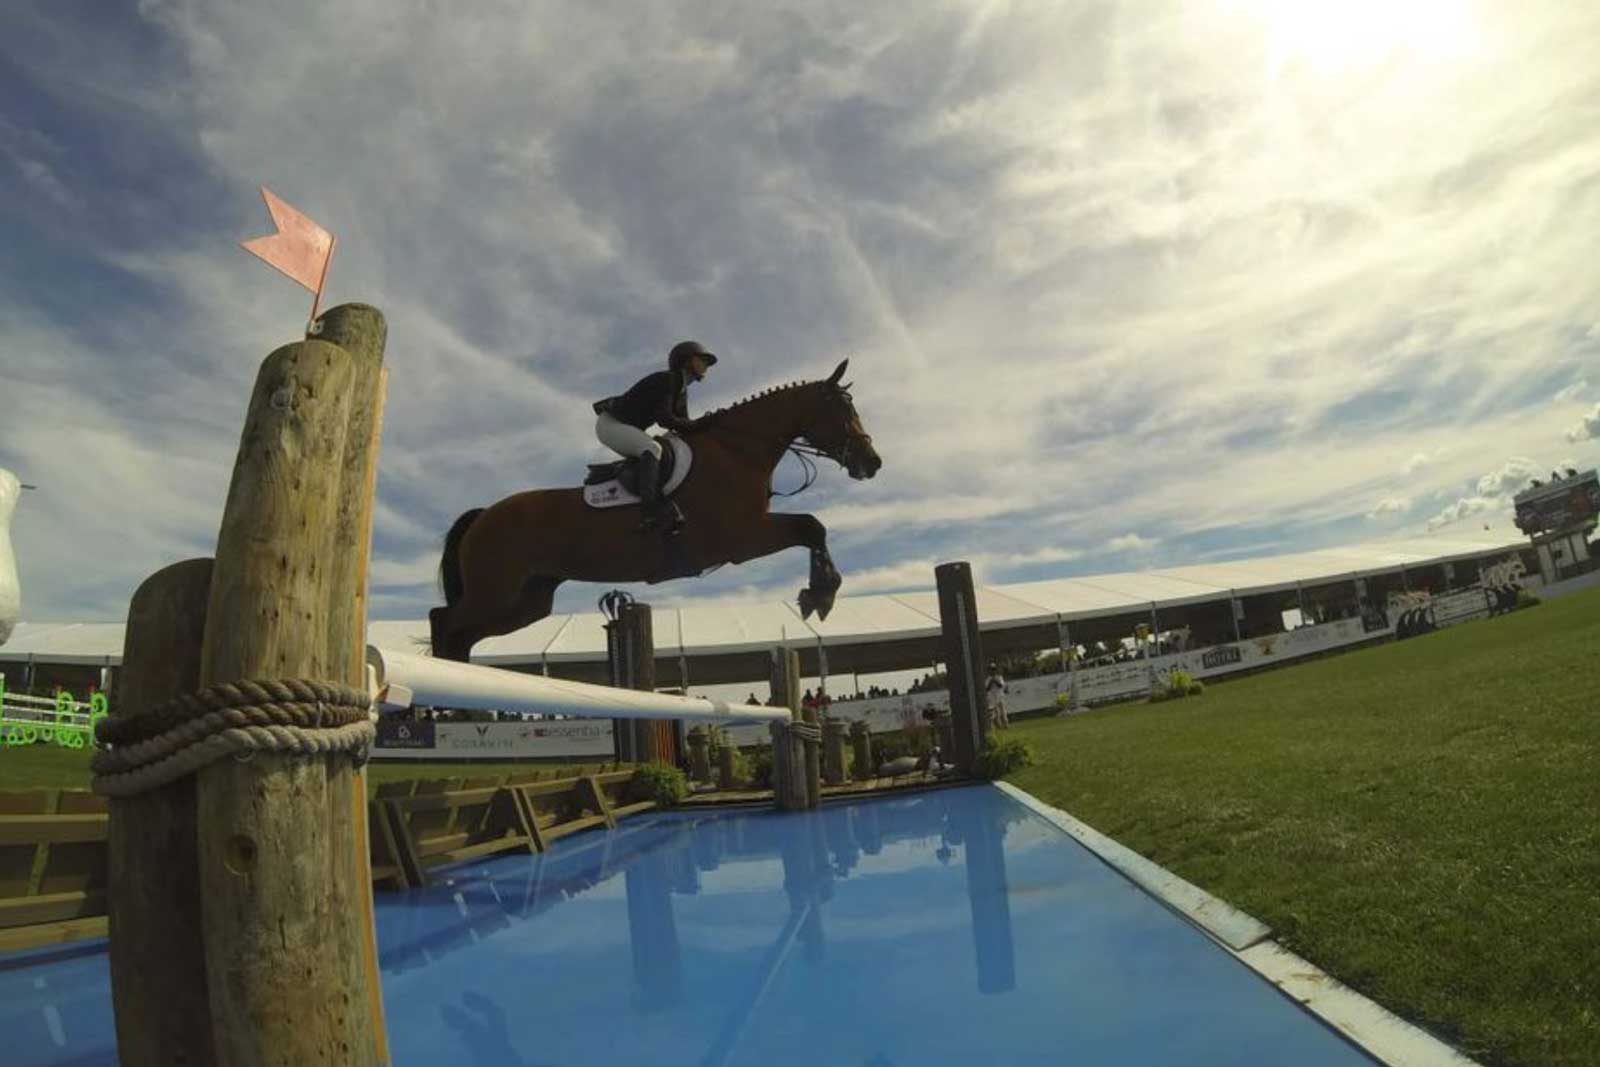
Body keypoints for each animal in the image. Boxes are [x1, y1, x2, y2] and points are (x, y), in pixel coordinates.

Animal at [432, 361, 883, 659]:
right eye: (843, 410)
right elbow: (812, 526)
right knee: (444, 621)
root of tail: (484, 515)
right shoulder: (743, 538)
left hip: (527, 602)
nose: (872, 462)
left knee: (463, 635)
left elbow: (813, 529)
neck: (737, 450)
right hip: (495, 592)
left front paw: (818, 595)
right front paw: (820, 595)